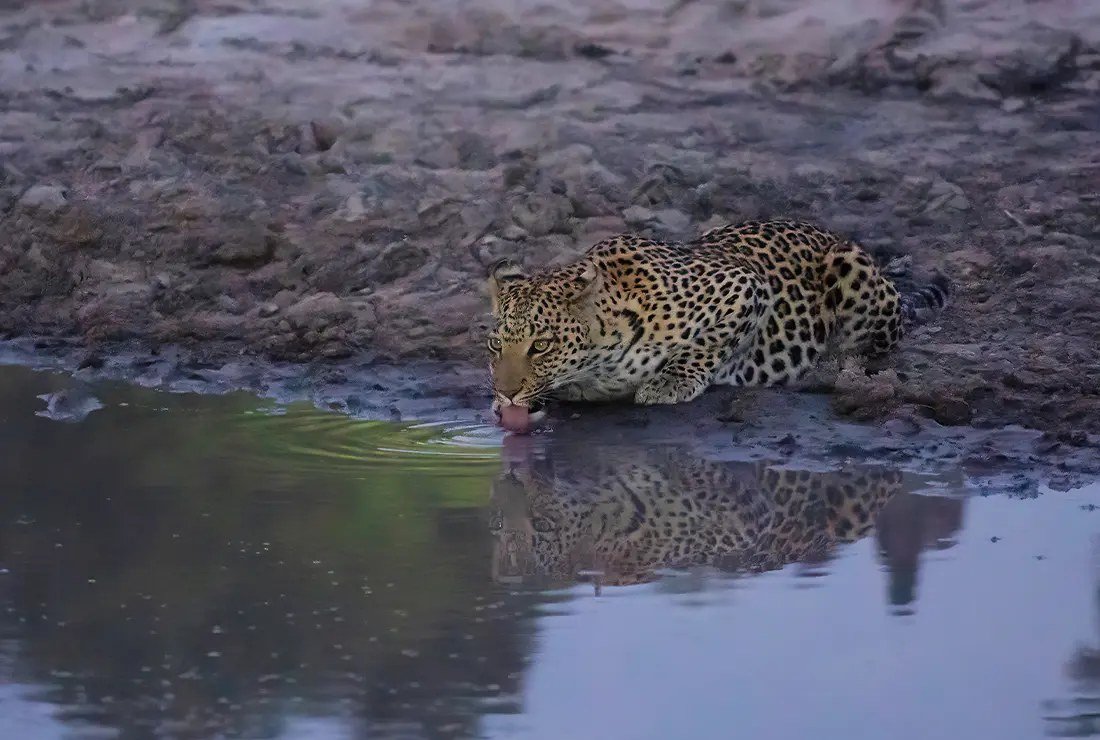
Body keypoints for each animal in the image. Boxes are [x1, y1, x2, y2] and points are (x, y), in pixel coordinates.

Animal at [485, 219, 949, 431]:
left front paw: (671, 381)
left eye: (541, 345)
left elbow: (708, 343)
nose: (505, 393)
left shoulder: (744, 285)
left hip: (850, 268)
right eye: (495, 346)